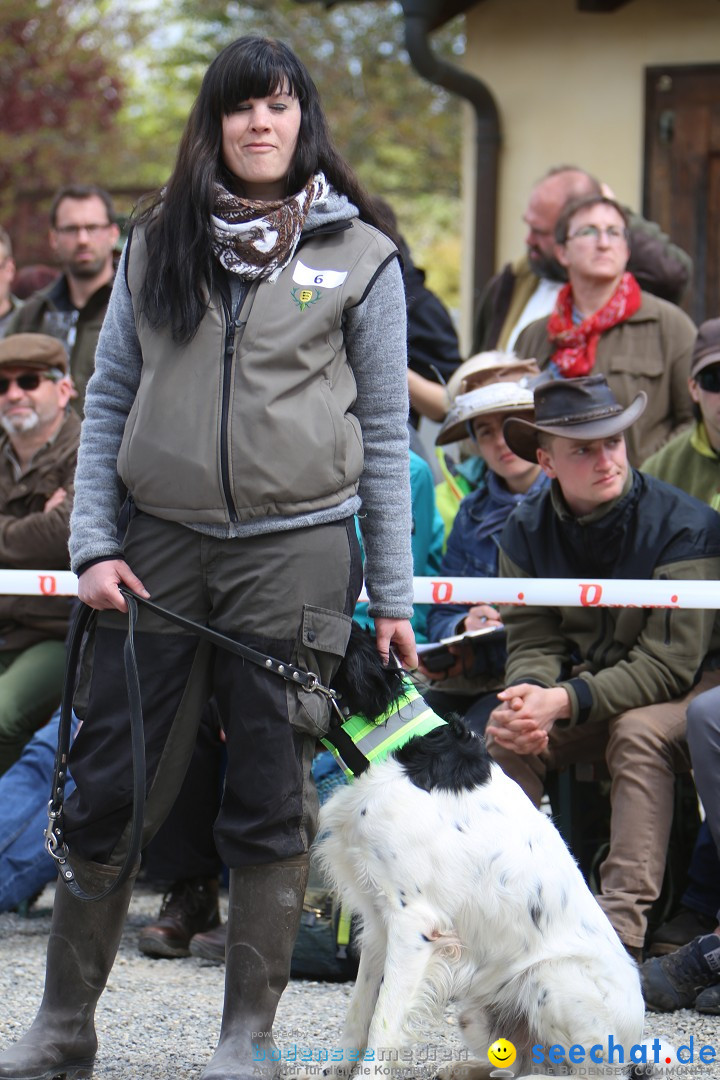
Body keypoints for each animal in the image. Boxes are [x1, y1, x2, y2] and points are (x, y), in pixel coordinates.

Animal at [317, 630, 643, 1075]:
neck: (390, 748)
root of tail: (637, 1042)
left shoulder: (414, 923)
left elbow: (383, 1023)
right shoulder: (378, 922)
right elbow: (358, 1012)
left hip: (550, 980)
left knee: (579, 1072)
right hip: (476, 1011)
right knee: (520, 1062)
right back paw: (465, 1068)